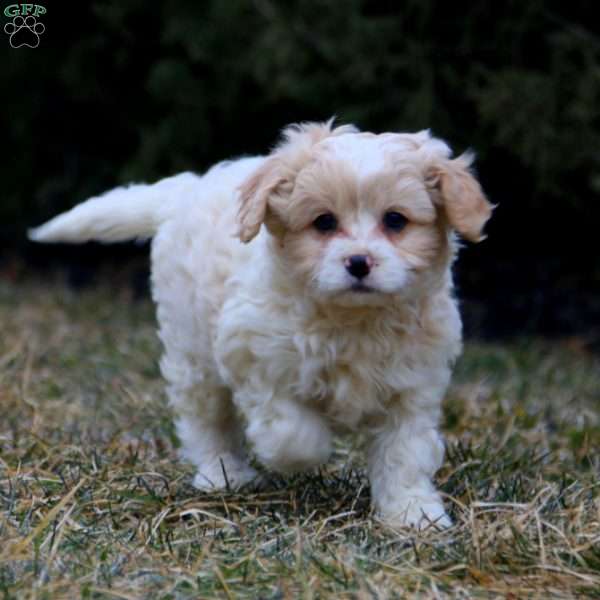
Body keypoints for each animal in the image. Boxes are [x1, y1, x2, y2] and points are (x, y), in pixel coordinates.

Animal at [29, 119, 492, 528]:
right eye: (324, 222)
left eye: (395, 220)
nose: (358, 262)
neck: (352, 319)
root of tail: (184, 190)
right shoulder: (254, 353)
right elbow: (291, 431)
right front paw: (308, 453)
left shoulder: (411, 387)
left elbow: (404, 454)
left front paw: (413, 515)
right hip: (192, 350)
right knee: (206, 420)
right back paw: (223, 473)